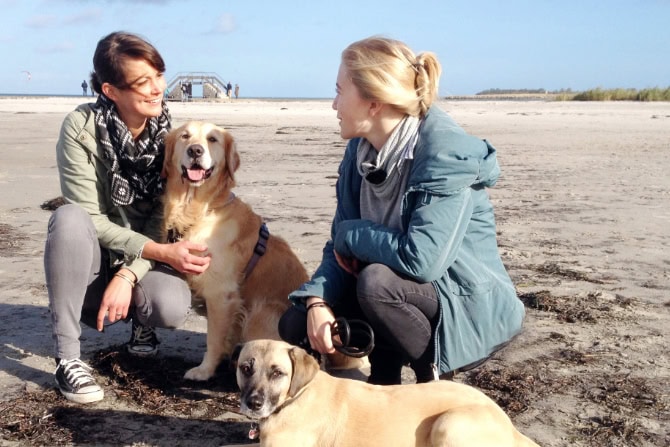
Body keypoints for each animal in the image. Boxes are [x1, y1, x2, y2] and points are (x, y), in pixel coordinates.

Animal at [163, 122, 310, 382]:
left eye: (212, 139)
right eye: (184, 136)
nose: (195, 151)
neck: (201, 209)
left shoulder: (221, 295)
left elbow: (213, 339)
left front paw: (204, 370)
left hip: (260, 313)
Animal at [235, 342, 540, 446]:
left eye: (278, 373)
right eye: (245, 368)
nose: (253, 403)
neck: (297, 396)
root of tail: (511, 428)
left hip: (449, 423)